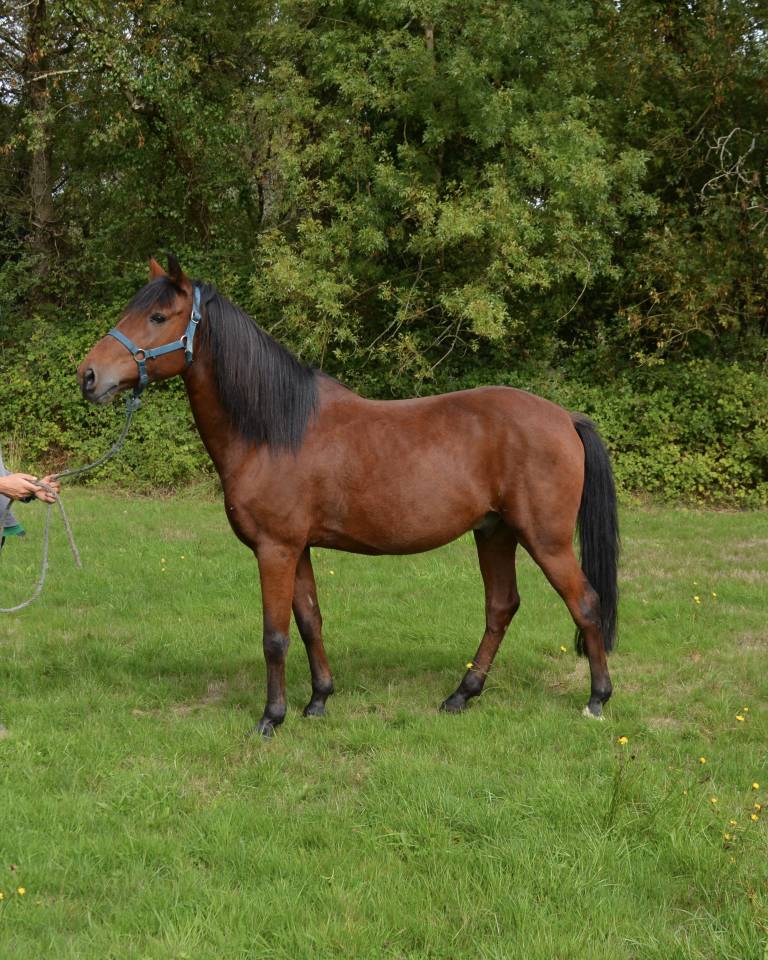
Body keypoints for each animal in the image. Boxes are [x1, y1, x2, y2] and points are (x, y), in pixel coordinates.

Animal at [78, 255, 619, 737]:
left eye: (158, 316)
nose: (88, 375)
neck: (275, 430)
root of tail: (565, 417)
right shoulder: (298, 549)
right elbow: (310, 621)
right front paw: (318, 701)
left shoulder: (275, 549)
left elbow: (275, 636)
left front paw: (270, 719)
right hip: (494, 532)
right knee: (501, 607)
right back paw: (461, 695)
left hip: (545, 540)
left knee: (586, 603)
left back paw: (596, 700)